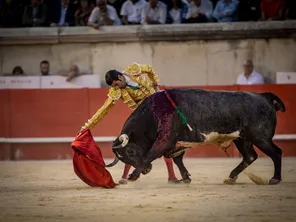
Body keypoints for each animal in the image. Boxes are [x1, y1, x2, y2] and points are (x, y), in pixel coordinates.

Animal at [106, 87, 284, 185]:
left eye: (130, 151)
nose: (146, 170)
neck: (153, 113)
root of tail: (264, 96)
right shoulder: (175, 144)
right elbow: (178, 160)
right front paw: (185, 178)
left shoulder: (164, 141)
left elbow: (150, 154)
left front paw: (133, 176)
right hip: (242, 139)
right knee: (250, 156)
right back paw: (231, 177)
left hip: (260, 137)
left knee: (276, 153)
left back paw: (275, 179)